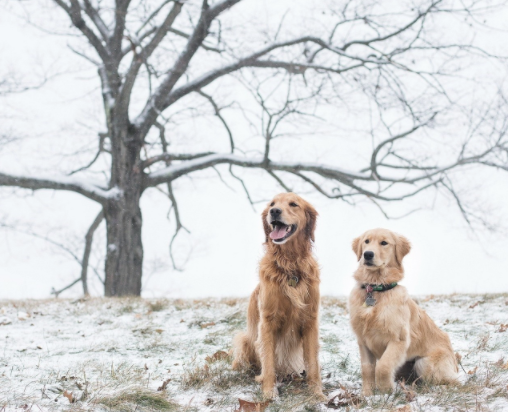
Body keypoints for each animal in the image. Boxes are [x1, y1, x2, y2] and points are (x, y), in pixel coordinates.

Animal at [232, 195, 324, 400]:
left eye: (293, 204)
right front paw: (269, 392)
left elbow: (313, 364)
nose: (274, 212)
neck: (290, 266)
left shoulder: (310, 321)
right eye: (272, 204)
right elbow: (268, 363)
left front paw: (317, 393)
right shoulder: (267, 322)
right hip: (244, 340)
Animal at [348, 229, 458, 396]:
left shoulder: (398, 339)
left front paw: (386, 390)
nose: (367, 254)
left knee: (453, 380)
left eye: (384, 243)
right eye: (366, 241)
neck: (376, 288)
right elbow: (367, 369)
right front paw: (367, 394)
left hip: (424, 363)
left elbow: (383, 366)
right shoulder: (363, 340)